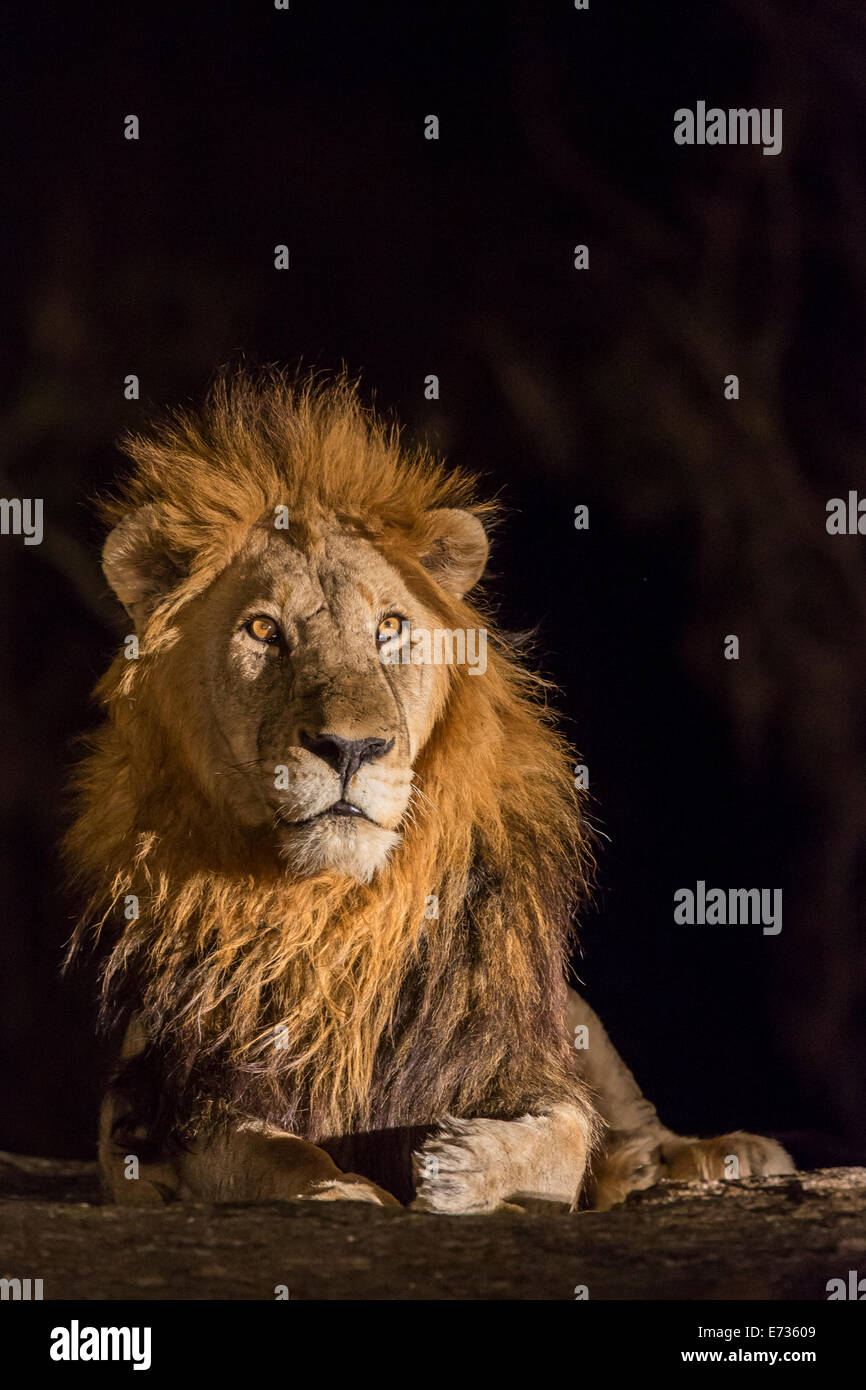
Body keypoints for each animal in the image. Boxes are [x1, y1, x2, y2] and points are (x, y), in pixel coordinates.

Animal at [66, 370, 793, 1213]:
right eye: (262, 631)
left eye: (389, 627)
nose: (352, 748)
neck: (337, 912)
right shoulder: (179, 1099)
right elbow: (264, 1153)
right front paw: (340, 1191)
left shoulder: (517, 1058)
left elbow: (563, 1136)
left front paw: (464, 1166)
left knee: (642, 1131)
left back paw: (728, 1153)